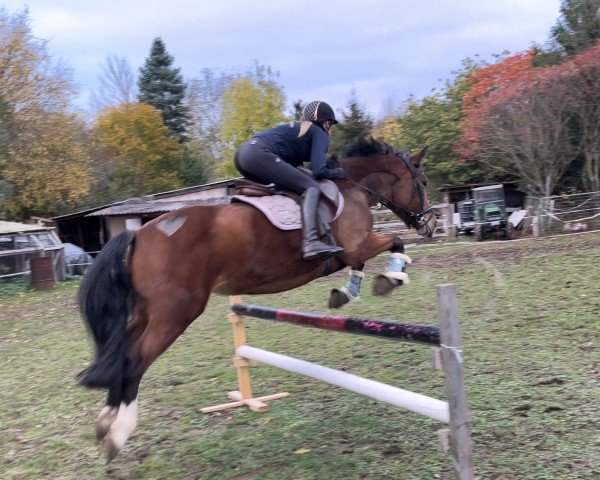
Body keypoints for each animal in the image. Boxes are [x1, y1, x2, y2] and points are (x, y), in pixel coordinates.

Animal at [78, 137, 436, 460]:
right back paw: (118, 433)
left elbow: (365, 262)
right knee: (135, 359)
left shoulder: (352, 251)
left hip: (146, 312)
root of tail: (138, 233)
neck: (353, 188)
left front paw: (346, 293)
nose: (430, 224)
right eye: (423, 182)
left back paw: (105, 422)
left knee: (121, 353)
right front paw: (392, 278)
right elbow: (395, 243)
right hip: (176, 313)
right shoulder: (356, 246)